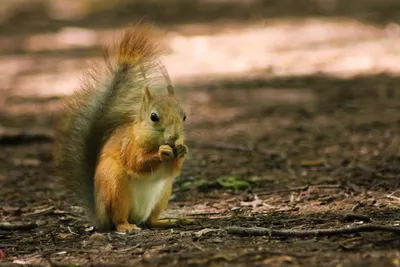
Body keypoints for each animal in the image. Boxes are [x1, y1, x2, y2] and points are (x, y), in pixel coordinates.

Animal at [53, 25, 189, 234]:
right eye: (154, 117)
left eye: (184, 116)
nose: (174, 137)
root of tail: (100, 217)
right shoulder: (129, 145)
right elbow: (137, 162)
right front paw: (162, 151)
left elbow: (172, 170)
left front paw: (182, 150)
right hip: (115, 187)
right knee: (118, 219)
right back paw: (127, 226)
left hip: (164, 192)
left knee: (150, 221)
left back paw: (167, 221)